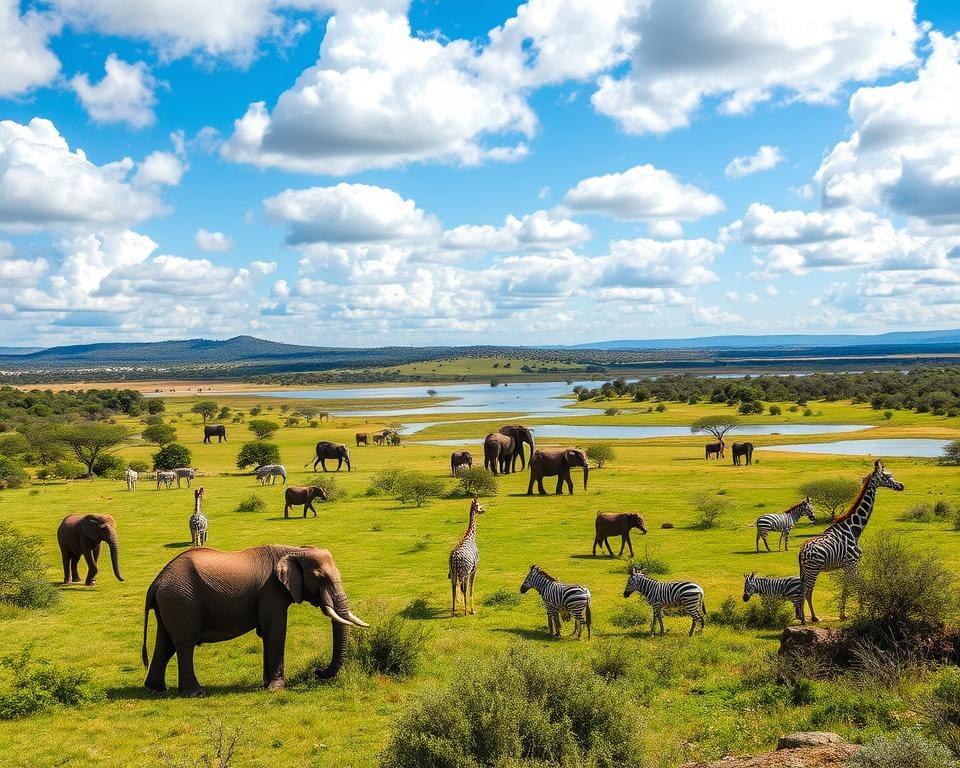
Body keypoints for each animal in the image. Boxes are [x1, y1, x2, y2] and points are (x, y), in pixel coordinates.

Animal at [142, 540, 368, 696]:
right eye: (320, 578)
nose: (317, 671)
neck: (293, 549)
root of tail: (156, 582)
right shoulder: (272, 590)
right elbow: (275, 630)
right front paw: (276, 688)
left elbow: (268, 633)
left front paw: (267, 685)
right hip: (182, 602)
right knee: (184, 644)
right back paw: (195, 693)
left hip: (172, 603)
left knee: (166, 643)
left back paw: (156, 689)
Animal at [800, 460, 904, 620]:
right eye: (887, 476)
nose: (901, 486)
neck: (854, 529)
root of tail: (801, 552)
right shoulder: (852, 563)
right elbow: (855, 587)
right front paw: (858, 613)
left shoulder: (849, 565)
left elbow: (847, 588)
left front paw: (844, 614)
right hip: (813, 569)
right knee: (808, 591)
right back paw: (813, 617)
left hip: (806, 570)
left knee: (803, 591)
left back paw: (802, 617)